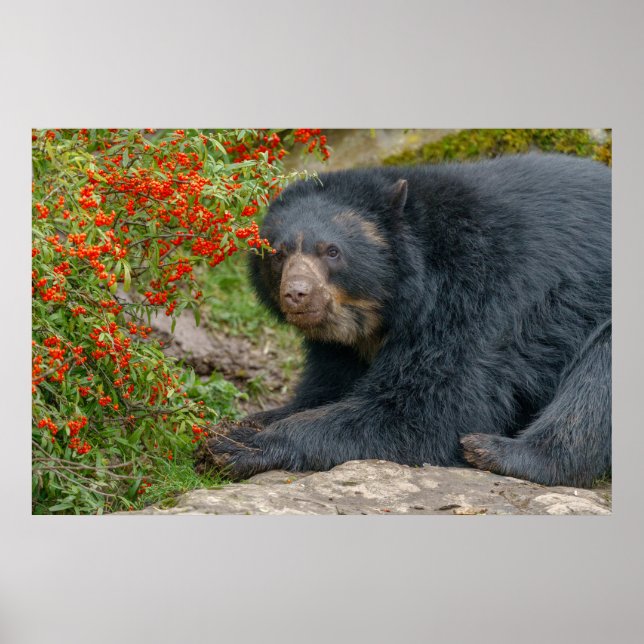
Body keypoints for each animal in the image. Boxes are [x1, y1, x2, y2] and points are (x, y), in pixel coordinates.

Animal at [196, 153, 611, 488]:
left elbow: (431, 407)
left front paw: (240, 447)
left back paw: (497, 451)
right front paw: (235, 425)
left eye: (332, 252)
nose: (297, 294)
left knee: (596, 378)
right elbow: (326, 389)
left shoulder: (476, 296)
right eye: (278, 254)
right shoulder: (340, 348)